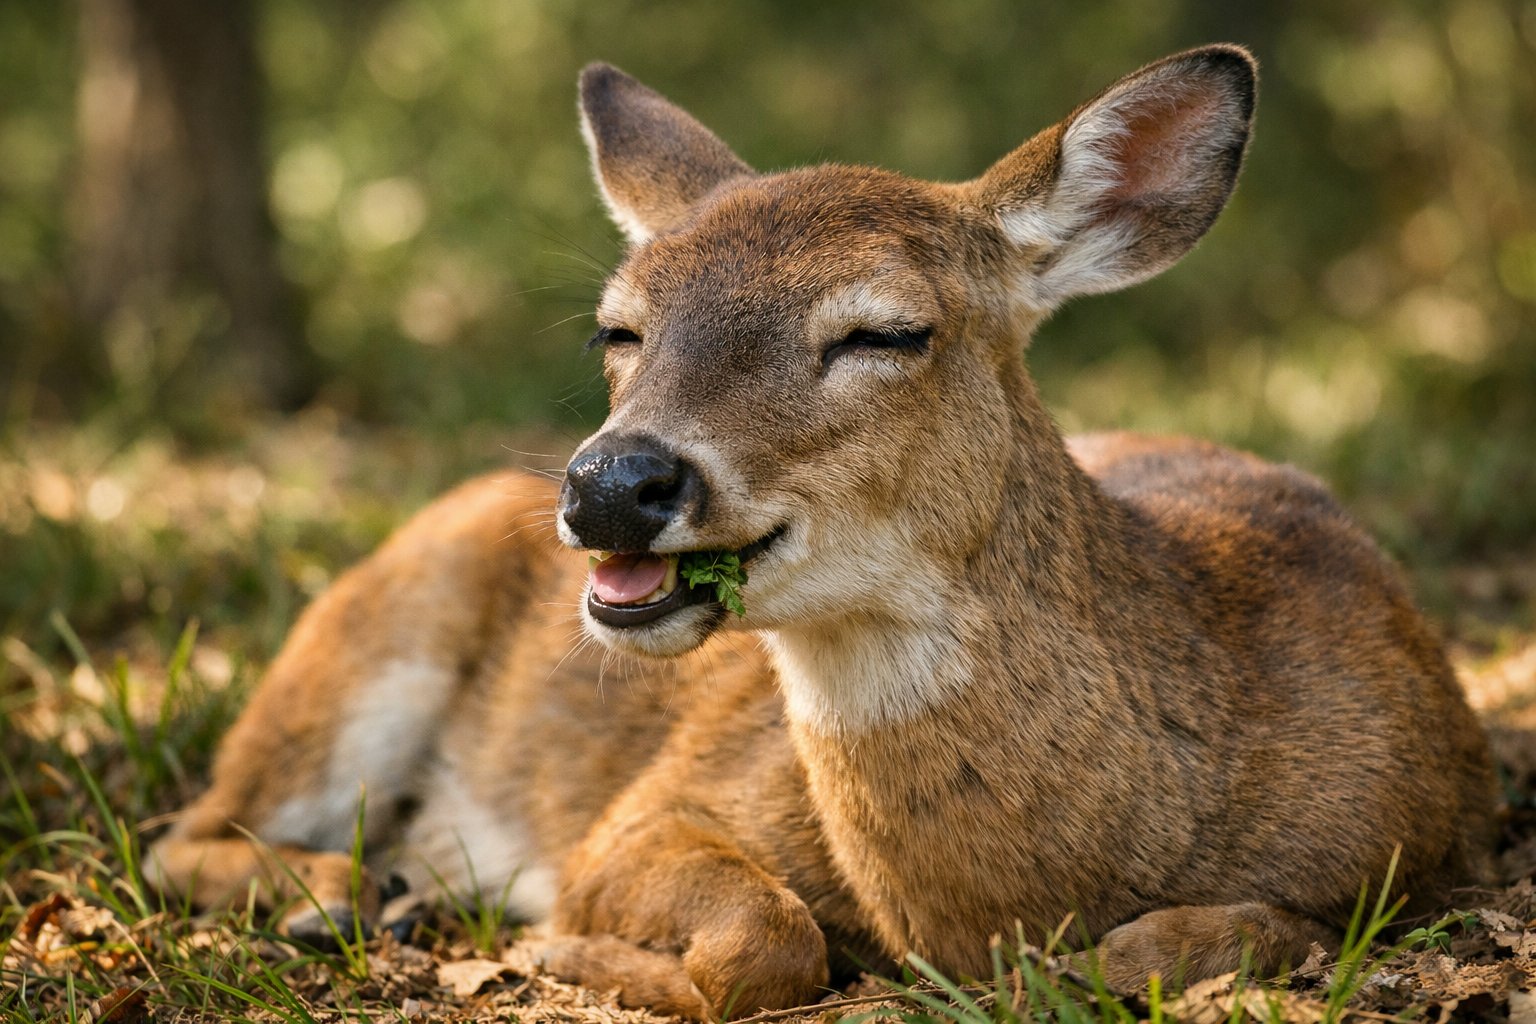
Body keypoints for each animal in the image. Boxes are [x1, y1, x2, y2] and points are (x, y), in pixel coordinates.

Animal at [148, 45, 1496, 1019]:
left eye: (886, 331)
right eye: (618, 327)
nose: (611, 483)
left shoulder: (1402, 858)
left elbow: (1179, 945)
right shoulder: (645, 807)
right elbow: (763, 940)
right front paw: (558, 947)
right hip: (368, 633)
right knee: (187, 831)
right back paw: (341, 895)